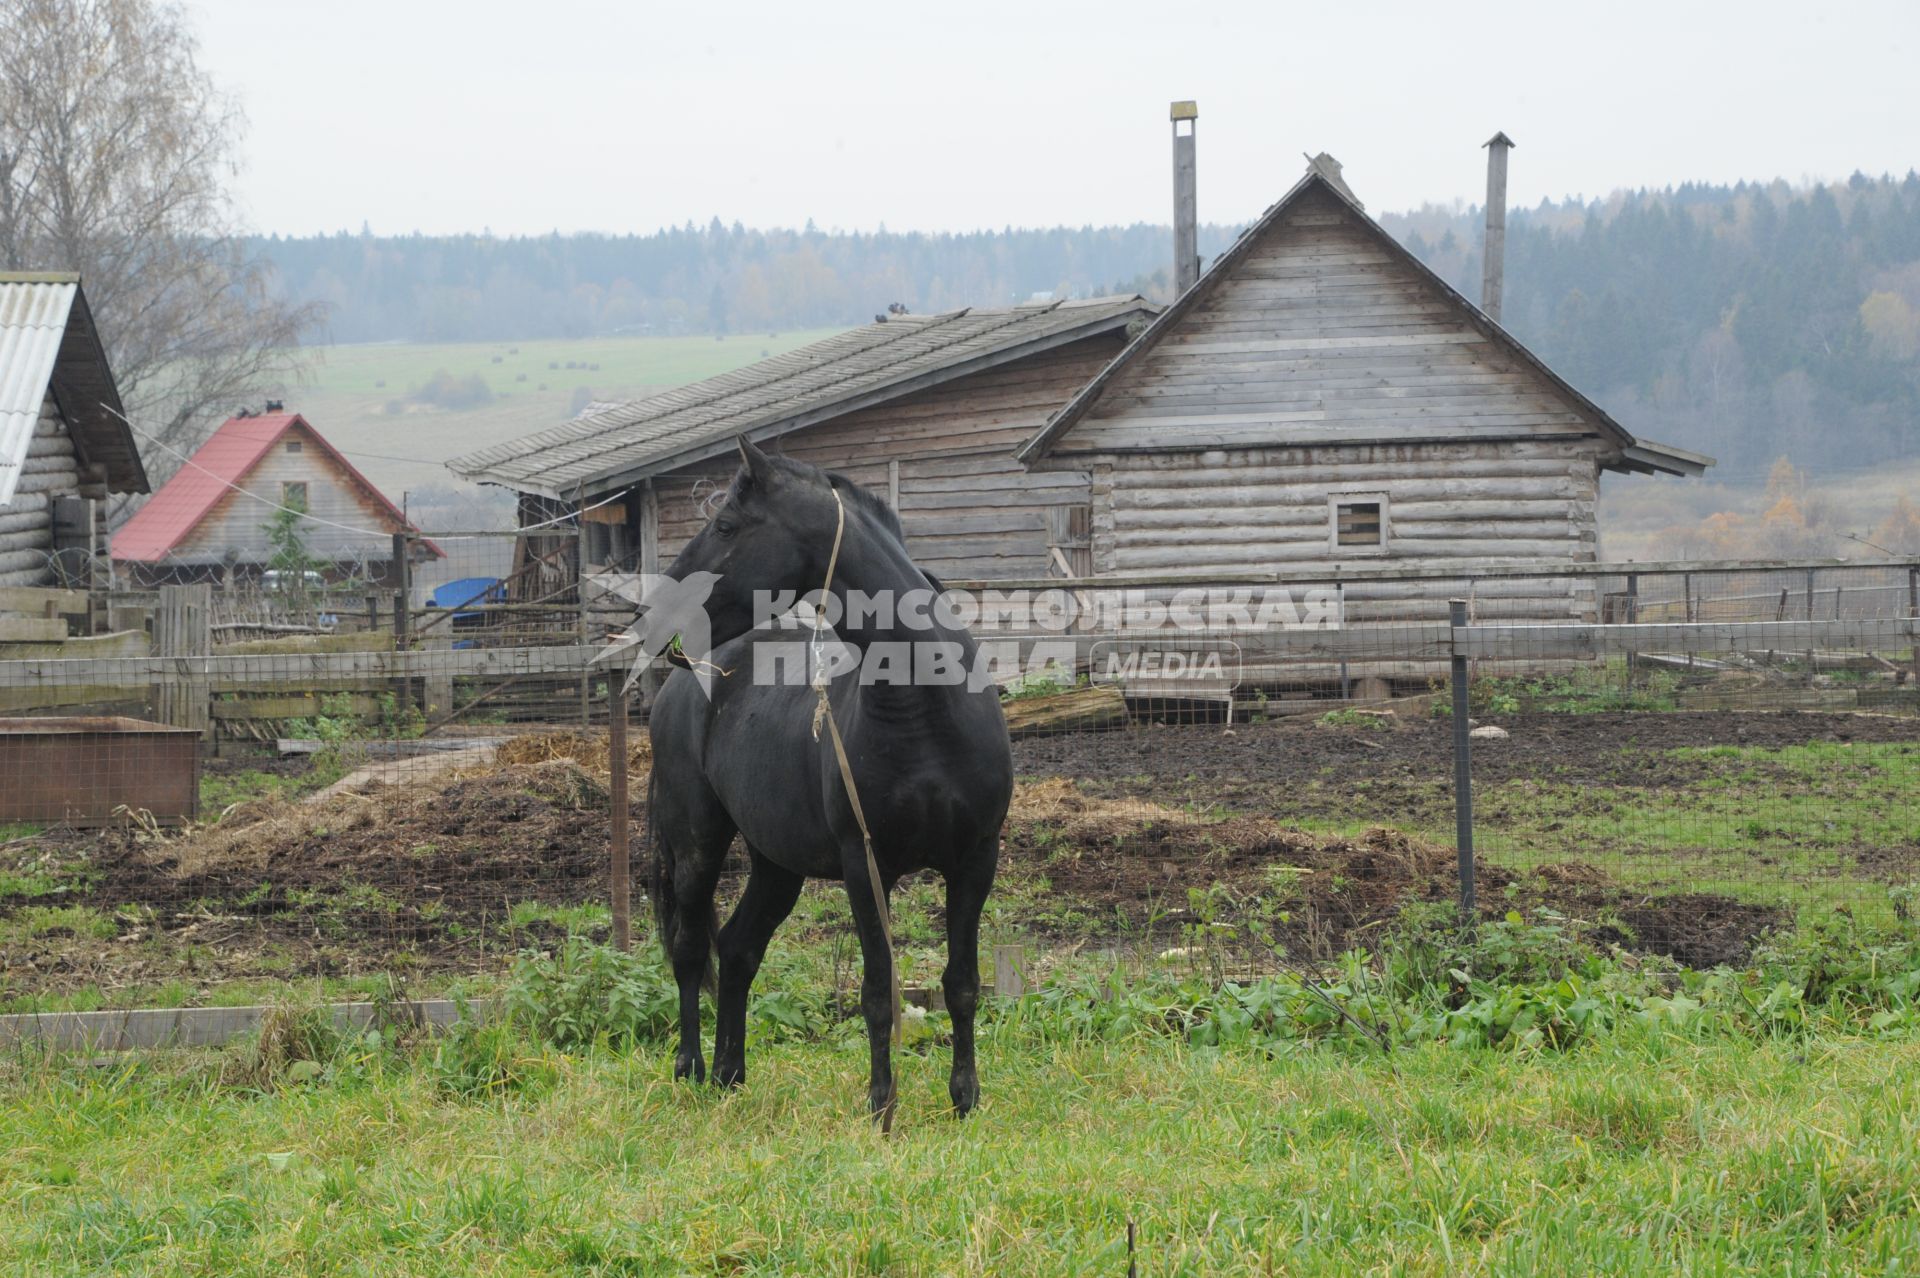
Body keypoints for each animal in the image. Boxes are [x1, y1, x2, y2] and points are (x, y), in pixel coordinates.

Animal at [637, 437, 1013, 1112]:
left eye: (726, 526)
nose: (655, 613)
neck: (925, 709)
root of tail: (690, 677)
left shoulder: (976, 859)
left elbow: (962, 983)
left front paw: (964, 1099)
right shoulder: (865, 866)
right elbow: (877, 993)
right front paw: (881, 1104)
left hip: (776, 864)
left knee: (737, 949)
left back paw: (731, 1072)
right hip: (697, 842)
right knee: (689, 950)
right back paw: (691, 1068)